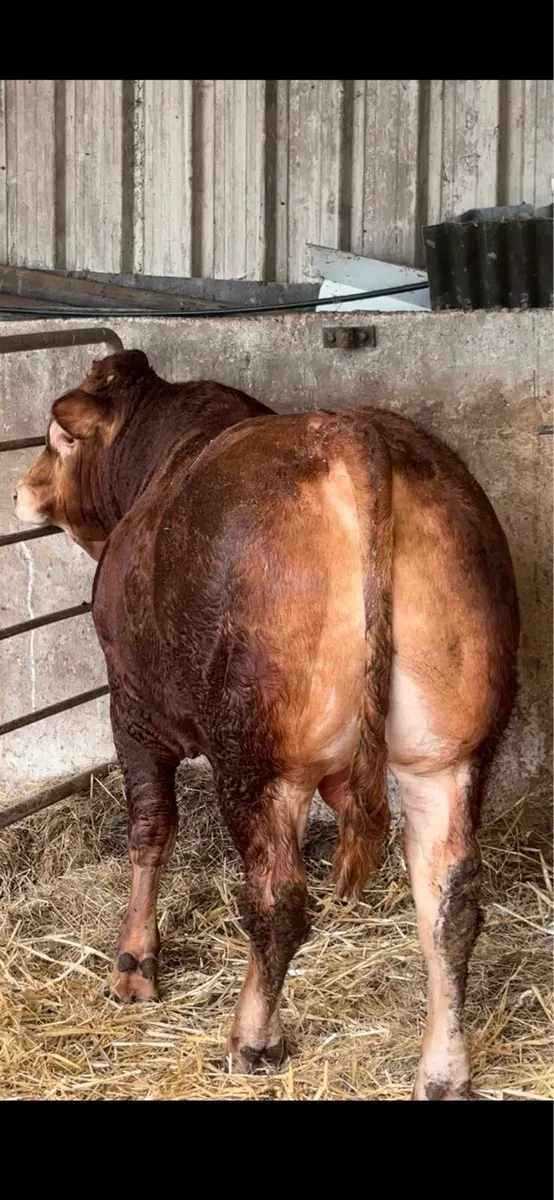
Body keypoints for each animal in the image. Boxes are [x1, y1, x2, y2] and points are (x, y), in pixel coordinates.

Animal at [13, 349, 519, 1099]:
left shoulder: (132, 707)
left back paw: (252, 1037)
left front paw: (133, 965)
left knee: (278, 901)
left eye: (56, 438)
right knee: (450, 903)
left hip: (257, 759)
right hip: (448, 757)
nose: (21, 491)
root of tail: (356, 434)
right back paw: (443, 1069)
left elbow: (150, 833)